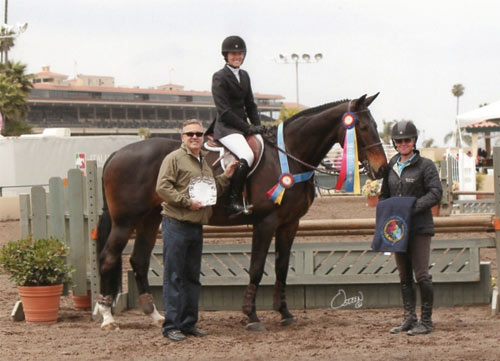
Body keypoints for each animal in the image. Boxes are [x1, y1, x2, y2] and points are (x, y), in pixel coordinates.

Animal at [95, 93, 388, 330]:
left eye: (375, 126)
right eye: (362, 127)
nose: (383, 169)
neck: (288, 157)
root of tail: (115, 154)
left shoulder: (289, 224)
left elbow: (282, 267)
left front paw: (284, 313)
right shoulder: (266, 223)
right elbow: (257, 268)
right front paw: (251, 316)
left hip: (149, 219)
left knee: (138, 260)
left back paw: (154, 315)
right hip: (125, 221)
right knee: (108, 257)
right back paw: (108, 317)